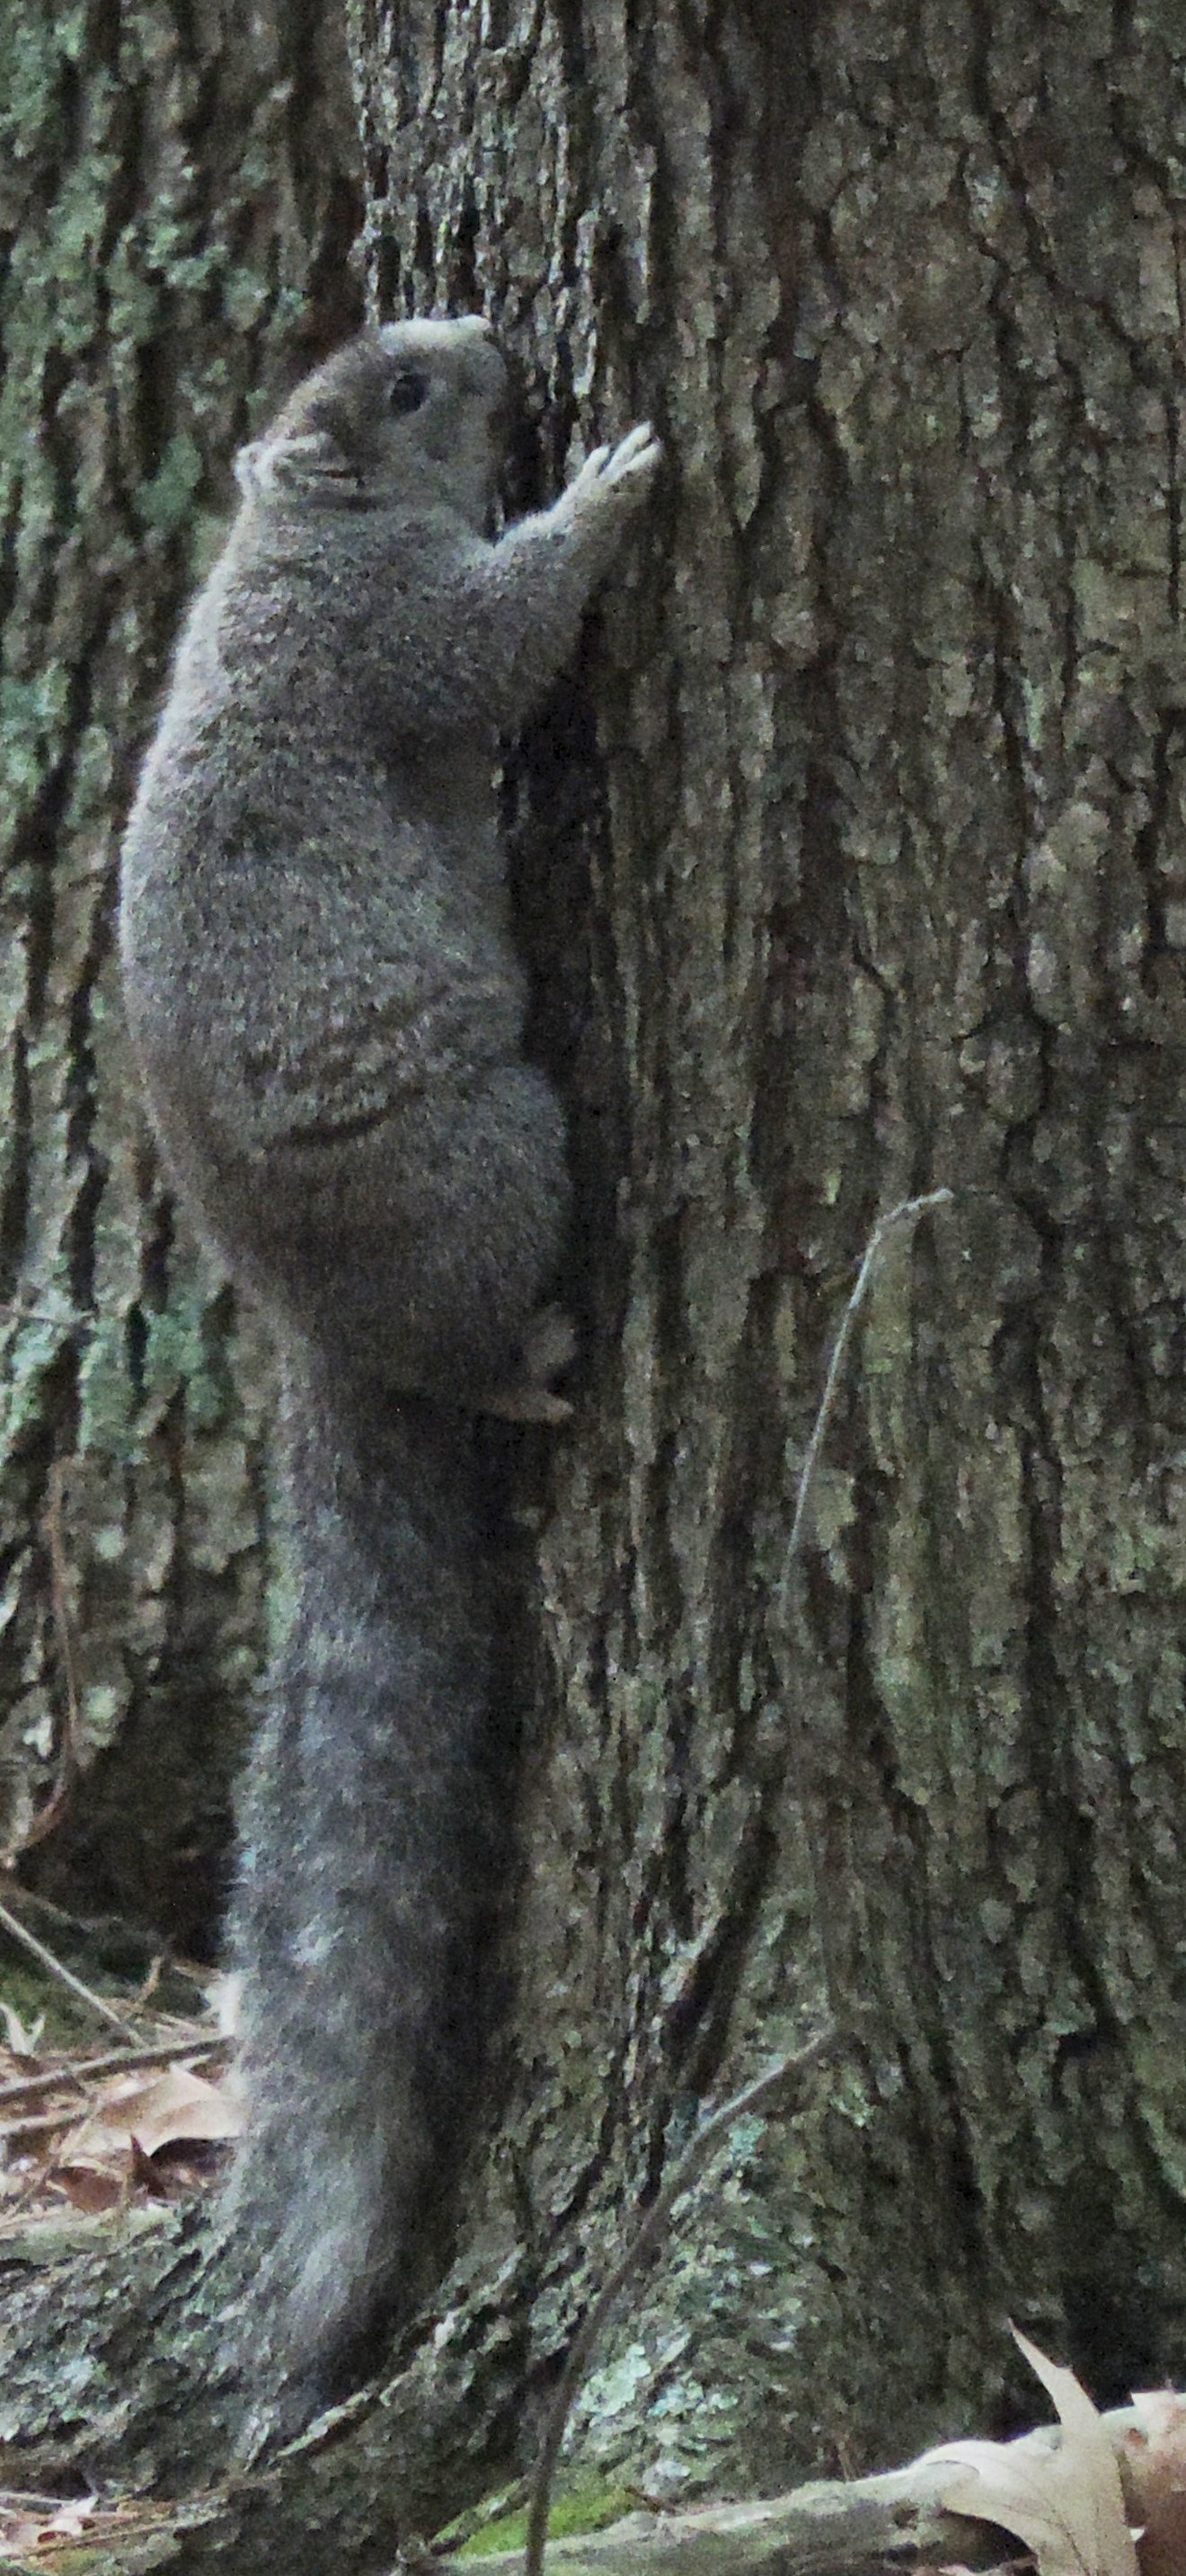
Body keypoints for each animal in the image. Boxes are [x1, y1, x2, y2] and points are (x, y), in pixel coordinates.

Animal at [118, 315, 660, 2434]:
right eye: (411, 390)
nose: (497, 346)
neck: (294, 536)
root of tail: (328, 1338)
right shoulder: (397, 630)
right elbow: (500, 644)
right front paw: (601, 489)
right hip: (503, 1143)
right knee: (495, 1346)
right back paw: (532, 1358)